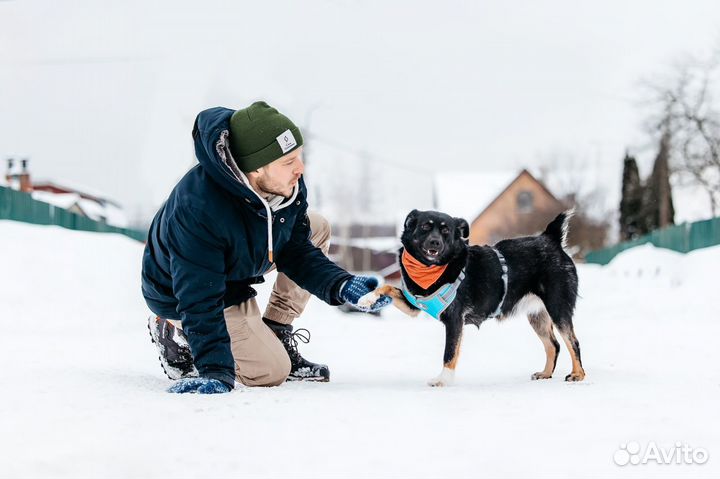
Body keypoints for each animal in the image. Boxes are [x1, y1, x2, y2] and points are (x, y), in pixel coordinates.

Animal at [360, 209, 584, 386]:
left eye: (446, 230)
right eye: (425, 226)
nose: (435, 242)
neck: (433, 269)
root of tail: (550, 239)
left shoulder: (454, 320)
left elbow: (449, 353)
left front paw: (443, 380)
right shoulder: (413, 306)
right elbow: (386, 286)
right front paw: (367, 298)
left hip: (557, 307)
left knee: (573, 341)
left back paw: (577, 374)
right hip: (537, 316)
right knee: (553, 345)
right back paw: (546, 373)